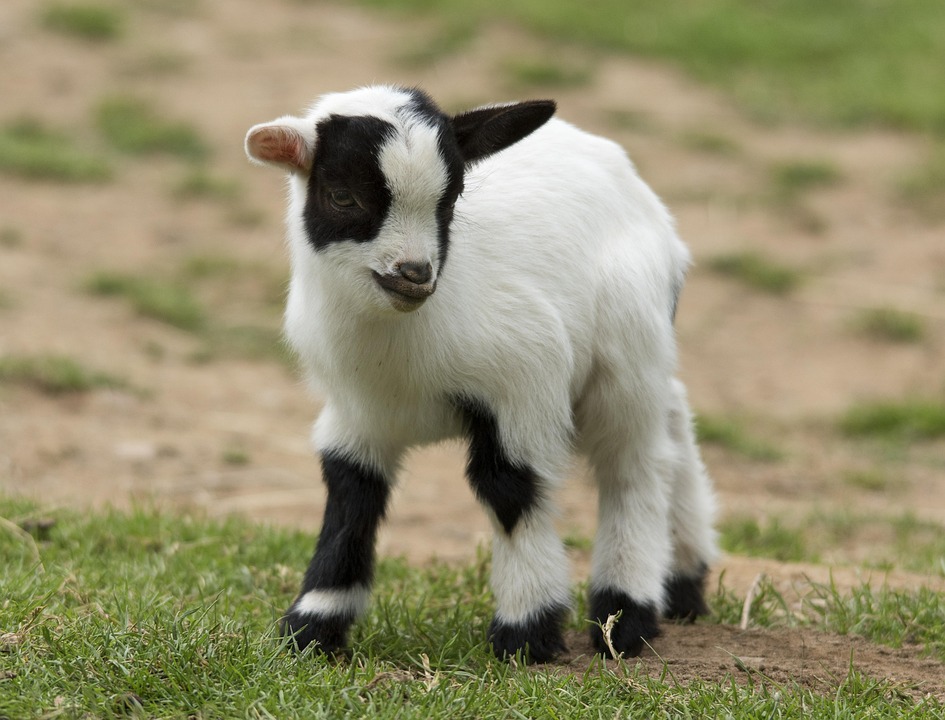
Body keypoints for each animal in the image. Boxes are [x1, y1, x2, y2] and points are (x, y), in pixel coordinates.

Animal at [245, 85, 716, 662]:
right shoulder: (356, 410)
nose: (415, 274)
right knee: (672, 416)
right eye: (341, 196)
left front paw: (527, 630)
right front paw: (313, 625)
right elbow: (350, 492)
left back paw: (625, 614)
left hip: (625, 347)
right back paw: (685, 579)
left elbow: (508, 487)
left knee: (634, 464)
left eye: (451, 200)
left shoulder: (524, 380)